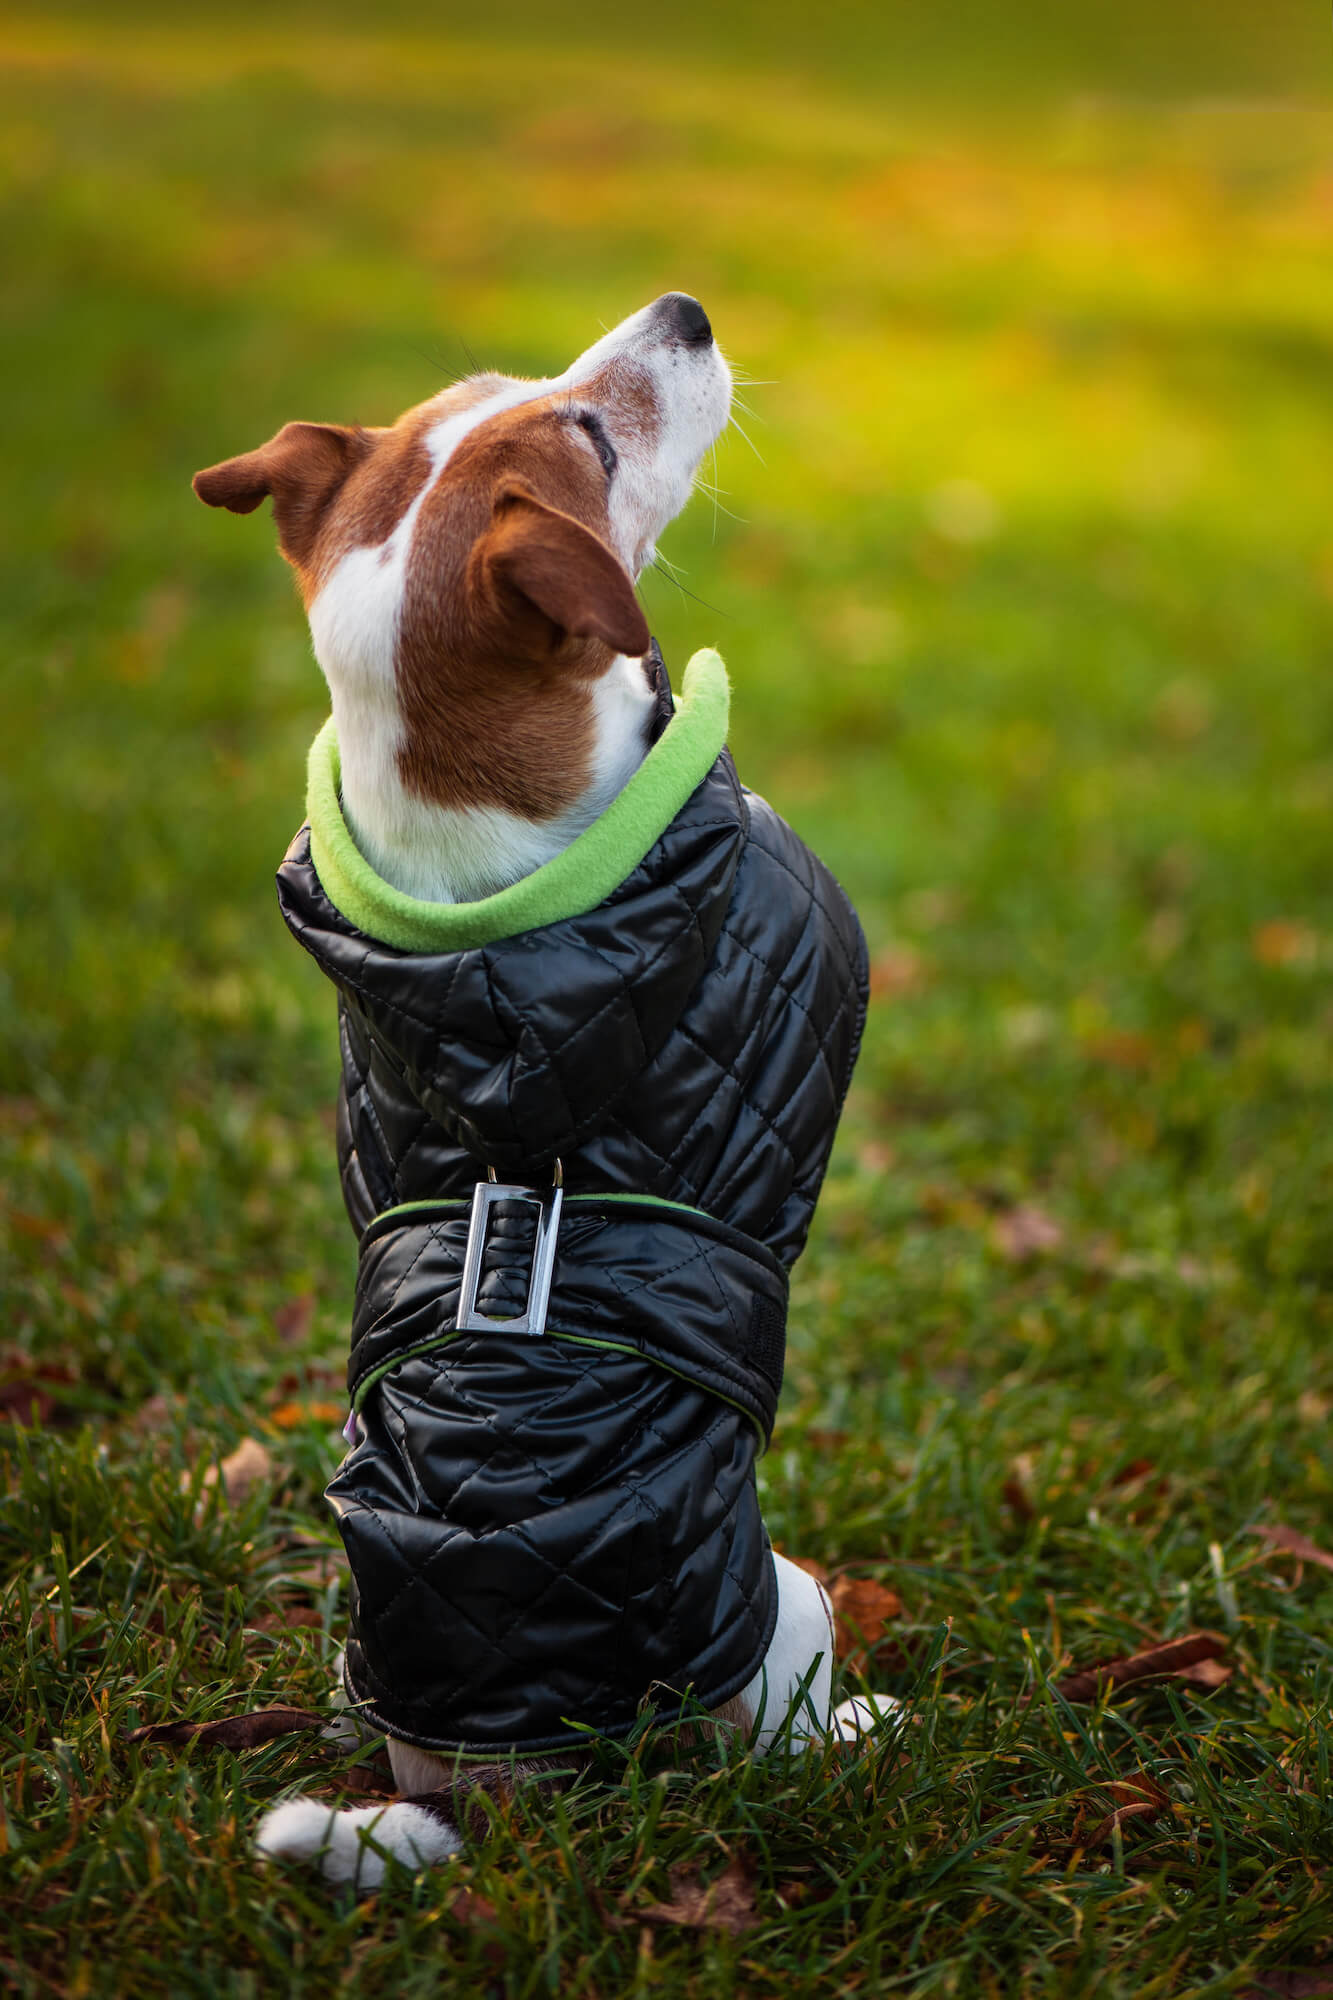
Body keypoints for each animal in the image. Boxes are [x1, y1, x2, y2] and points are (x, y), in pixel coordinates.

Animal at [189, 290, 892, 1880]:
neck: (489, 921)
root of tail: (513, 1796)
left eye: (509, 381)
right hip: (796, 1598)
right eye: (589, 433)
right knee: (800, 1728)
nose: (685, 309)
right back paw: (867, 1729)